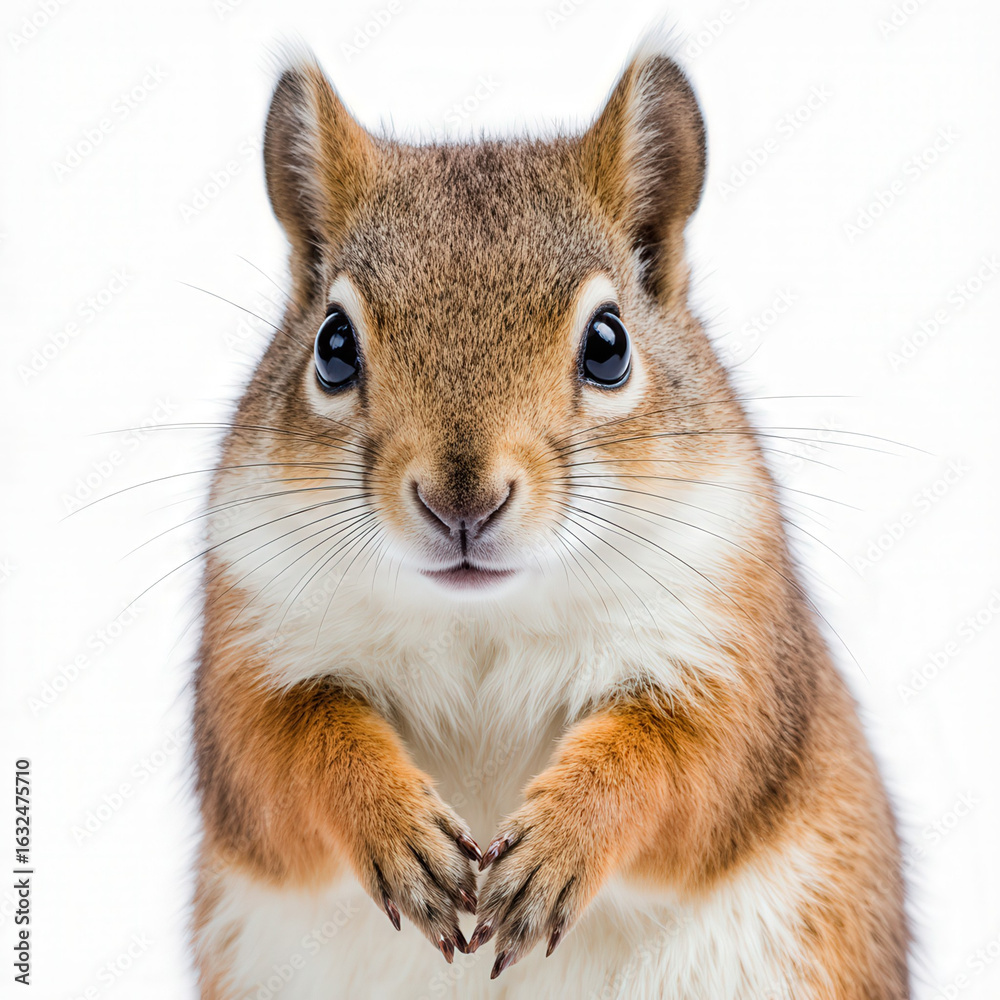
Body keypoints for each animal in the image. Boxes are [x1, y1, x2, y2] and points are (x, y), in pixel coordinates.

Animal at [190, 42, 909, 1000]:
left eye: (608, 345)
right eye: (333, 346)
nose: (462, 500)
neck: (482, 620)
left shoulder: (736, 650)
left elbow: (690, 764)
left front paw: (559, 847)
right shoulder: (248, 642)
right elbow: (278, 755)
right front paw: (396, 830)